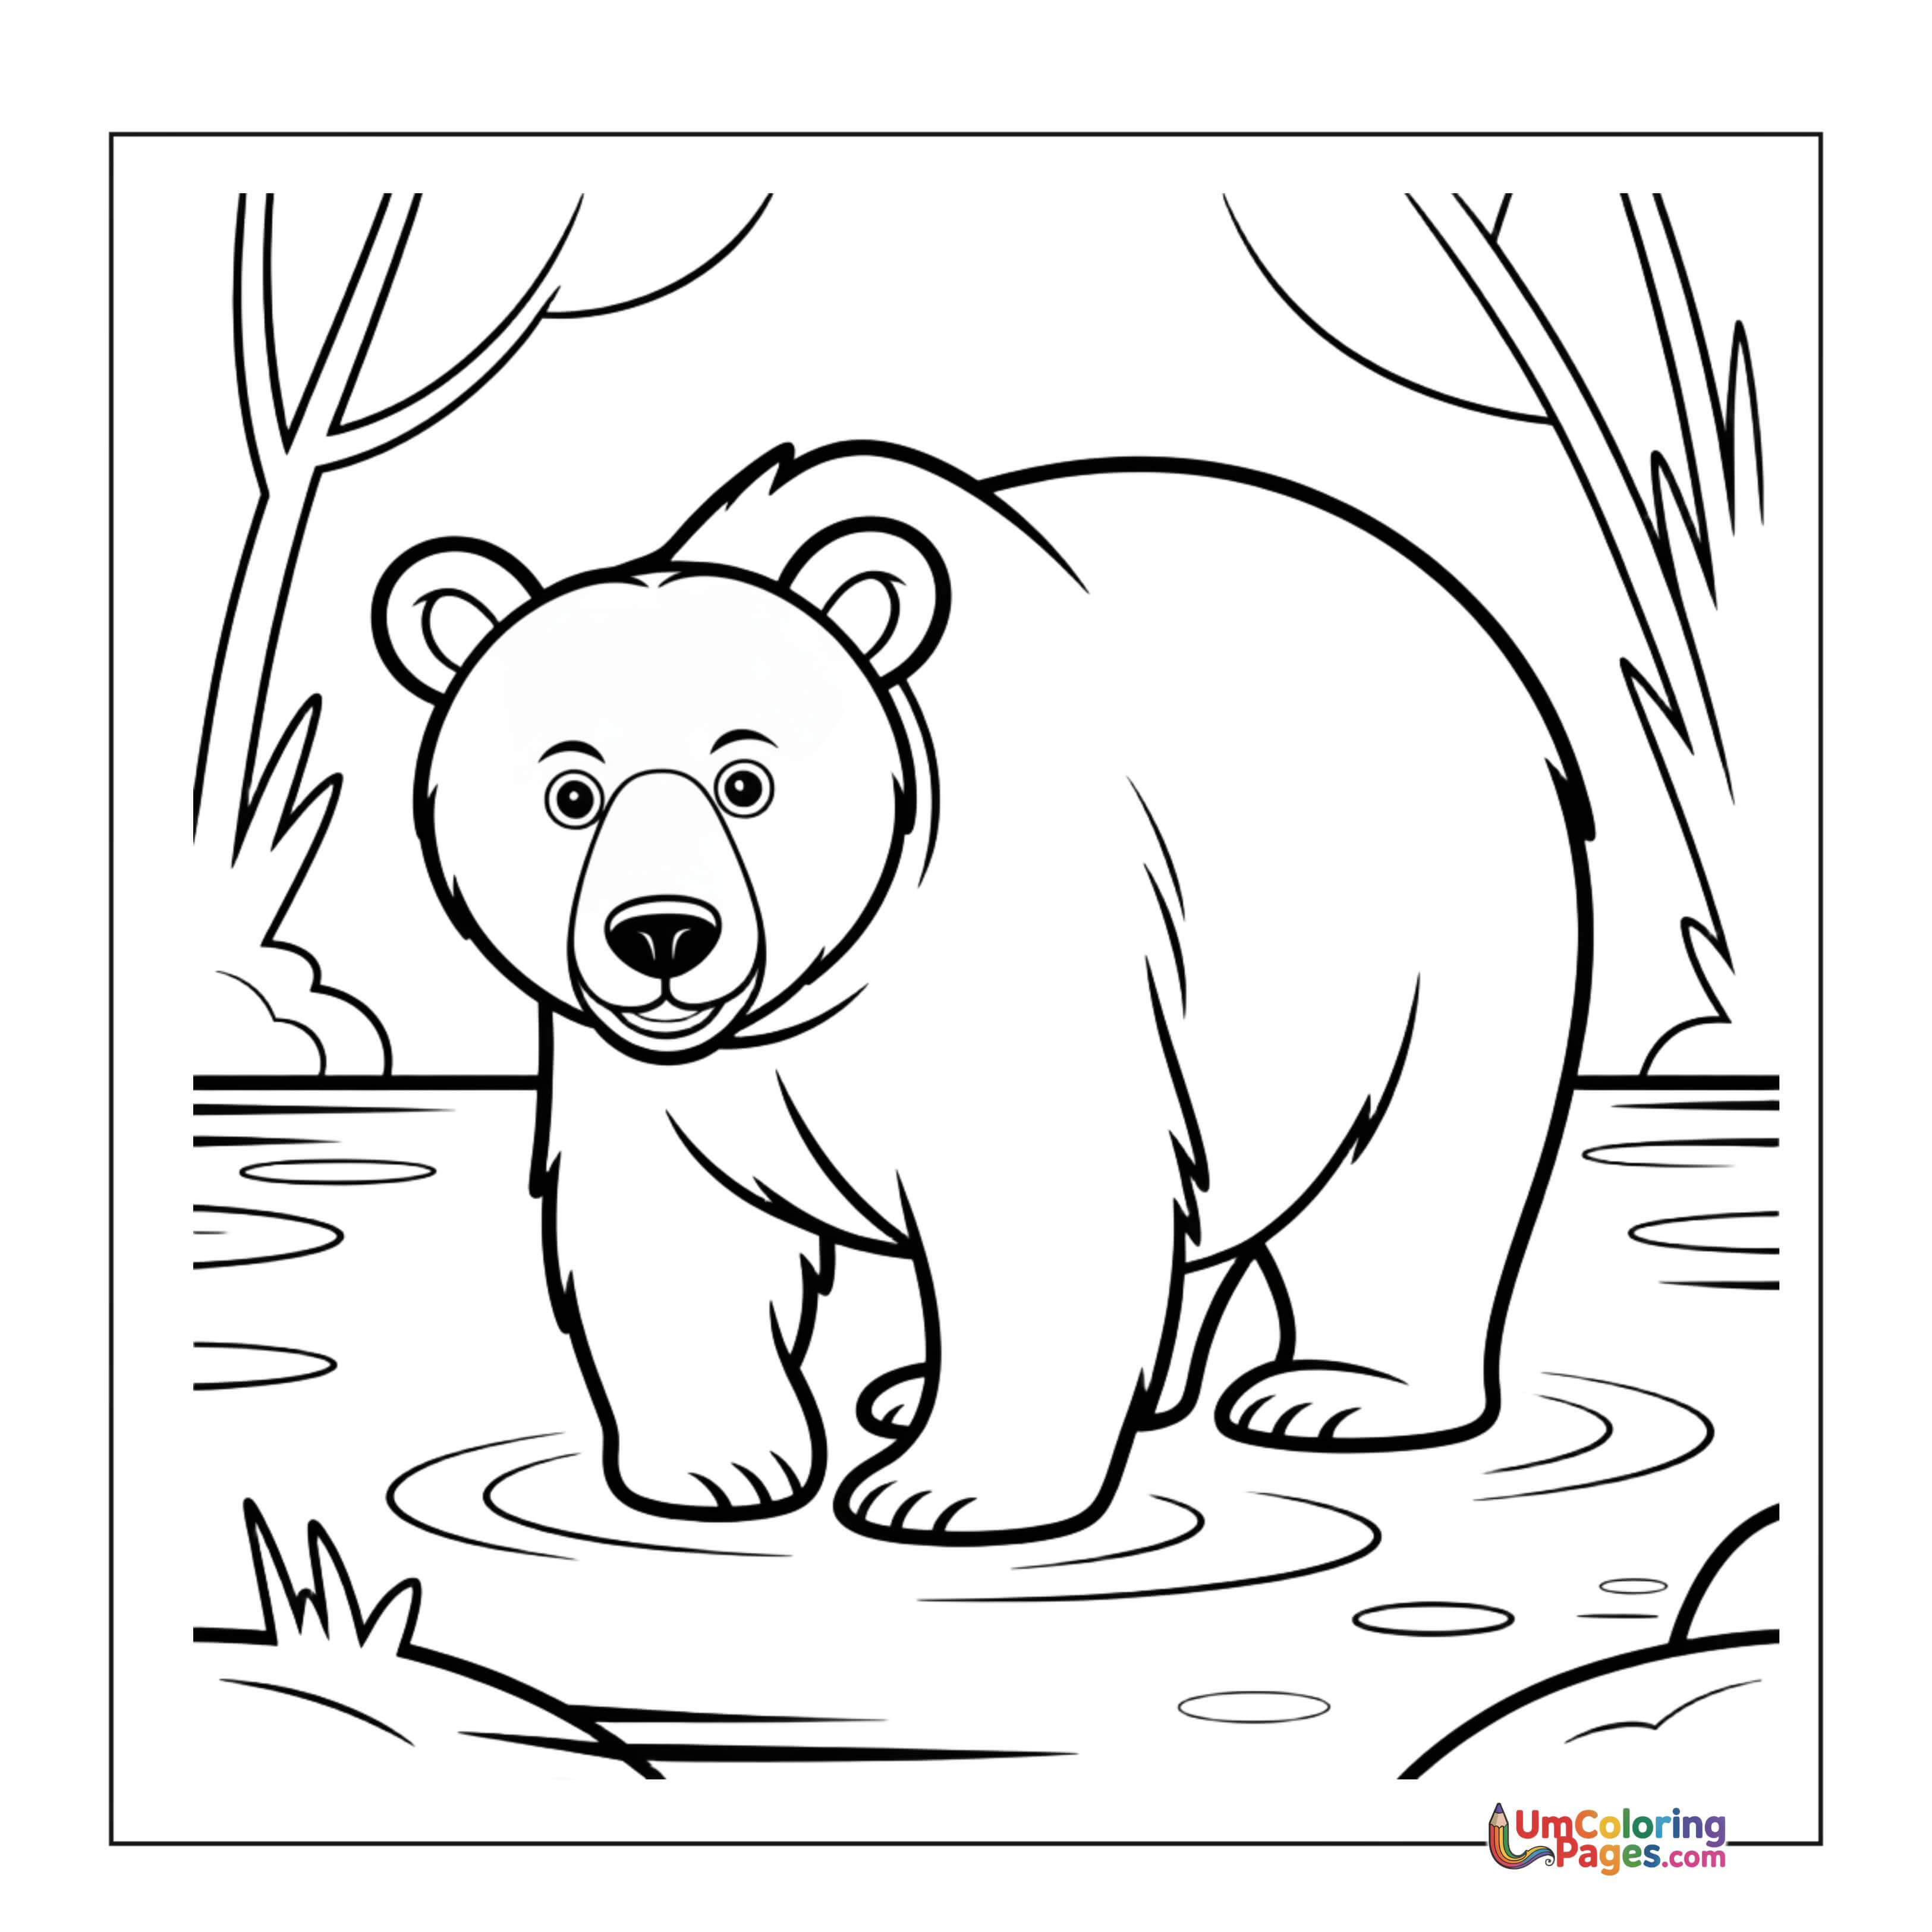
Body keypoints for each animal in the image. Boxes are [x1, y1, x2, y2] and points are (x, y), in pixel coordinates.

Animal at [373, 440, 1592, 1546]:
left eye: (746, 780)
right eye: (571, 792)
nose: (663, 933)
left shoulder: (1021, 943)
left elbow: (1043, 1194)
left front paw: (943, 1492)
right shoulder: (652, 1058)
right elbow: (670, 1218)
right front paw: (720, 1466)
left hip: (1447, 930)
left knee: (1416, 1170)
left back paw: (1335, 1393)